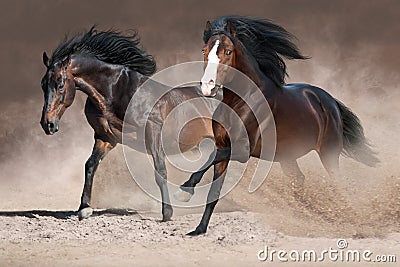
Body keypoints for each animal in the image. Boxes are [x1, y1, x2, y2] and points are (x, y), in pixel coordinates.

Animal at [41, 28, 214, 223]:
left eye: (60, 84)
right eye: (43, 85)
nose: (48, 124)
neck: (115, 92)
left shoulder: (153, 131)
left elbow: (160, 170)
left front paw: (167, 213)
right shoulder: (105, 137)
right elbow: (90, 165)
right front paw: (84, 208)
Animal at [177, 16, 378, 237]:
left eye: (228, 52)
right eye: (204, 50)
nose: (208, 87)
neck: (241, 100)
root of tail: (329, 101)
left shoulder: (242, 150)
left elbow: (210, 160)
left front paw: (185, 189)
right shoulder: (224, 146)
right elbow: (213, 189)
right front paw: (198, 229)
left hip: (329, 153)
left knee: (338, 184)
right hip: (287, 157)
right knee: (299, 179)